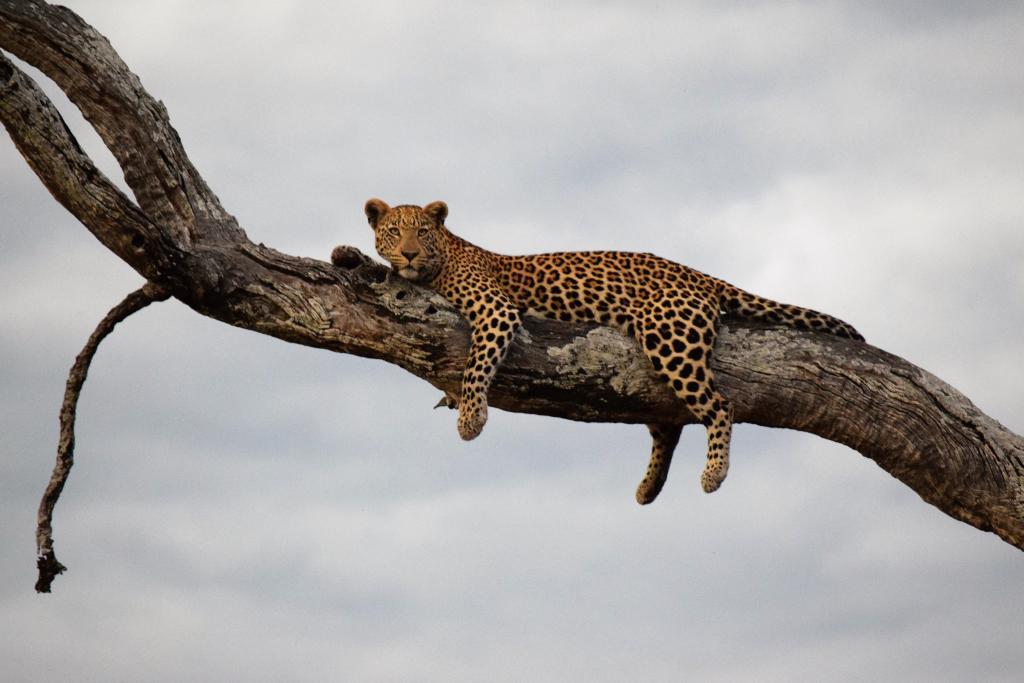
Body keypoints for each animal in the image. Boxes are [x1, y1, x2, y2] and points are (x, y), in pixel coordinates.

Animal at [346, 197, 864, 501]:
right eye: (393, 232)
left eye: (422, 233)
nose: (409, 254)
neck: (446, 254)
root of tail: (699, 274)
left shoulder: (495, 309)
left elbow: (476, 366)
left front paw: (471, 419)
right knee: (669, 423)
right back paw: (649, 487)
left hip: (668, 336)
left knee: (720, 405)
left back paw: (714, 473)